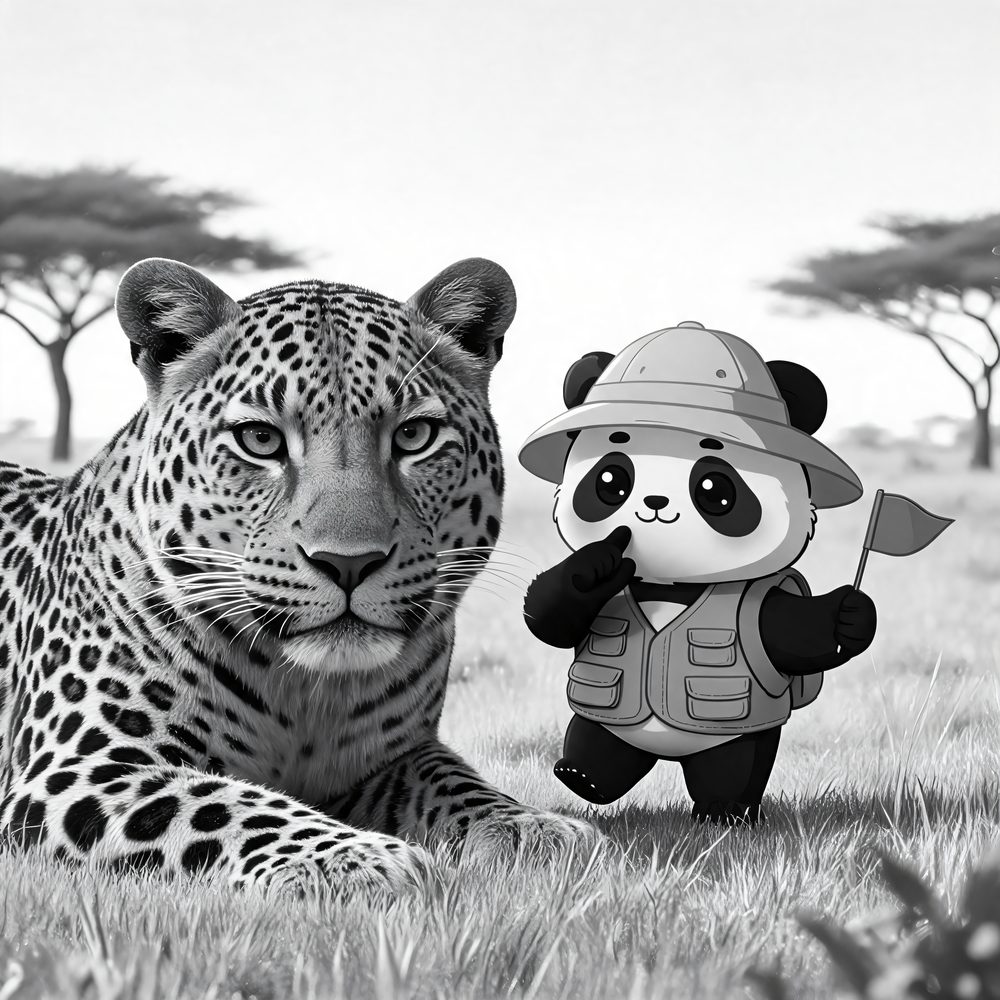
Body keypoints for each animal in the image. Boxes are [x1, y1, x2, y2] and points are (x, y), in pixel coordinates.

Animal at [0, 256, 593, 895]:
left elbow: (457, 783)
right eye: (260, 439)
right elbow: (226, 804)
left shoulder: (399, 757)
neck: (309, 695)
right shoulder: (78, 770)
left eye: (414, 436)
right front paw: (359, 857)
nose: (349, 562)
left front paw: (530, 827)